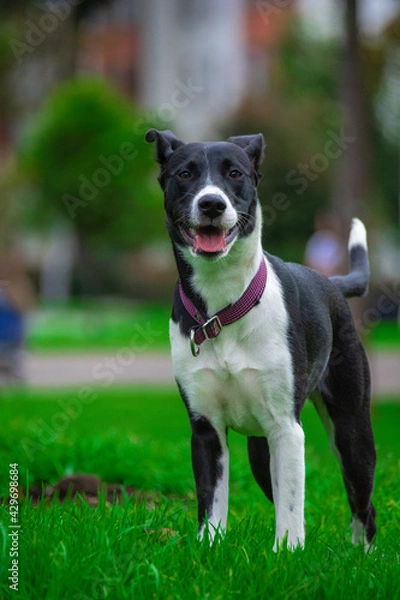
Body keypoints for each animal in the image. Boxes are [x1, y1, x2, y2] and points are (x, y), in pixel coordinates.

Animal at [146, 129, 376, 552]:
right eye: (185, 173)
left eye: (234, 173)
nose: (212, 203)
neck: (224, 307)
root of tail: (332, 284)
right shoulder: (206, 429)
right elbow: (212, 500)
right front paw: (209, 548)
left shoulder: (287, 429)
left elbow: (291, 505)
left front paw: (287, 554)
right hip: (259, 448)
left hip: (351, 428)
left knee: (362, 504)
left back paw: (362, 556)